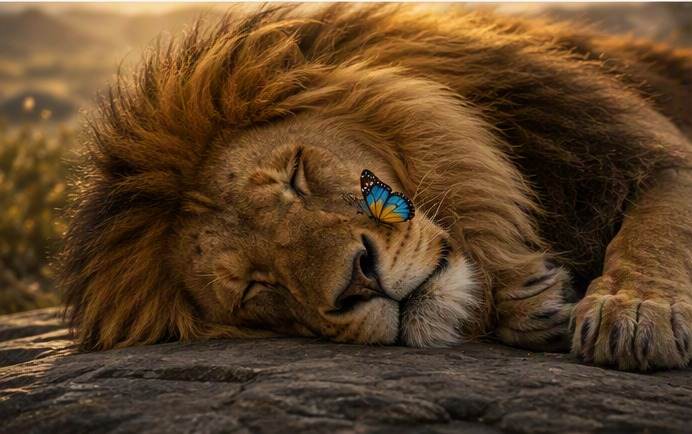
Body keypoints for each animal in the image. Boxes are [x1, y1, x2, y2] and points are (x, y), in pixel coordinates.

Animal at [59, 5, 692, 371]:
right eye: (256, 287)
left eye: (296, 176)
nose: (359, 281)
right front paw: (534, 305)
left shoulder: (638, 150)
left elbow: (658, 229)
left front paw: (635, 314)